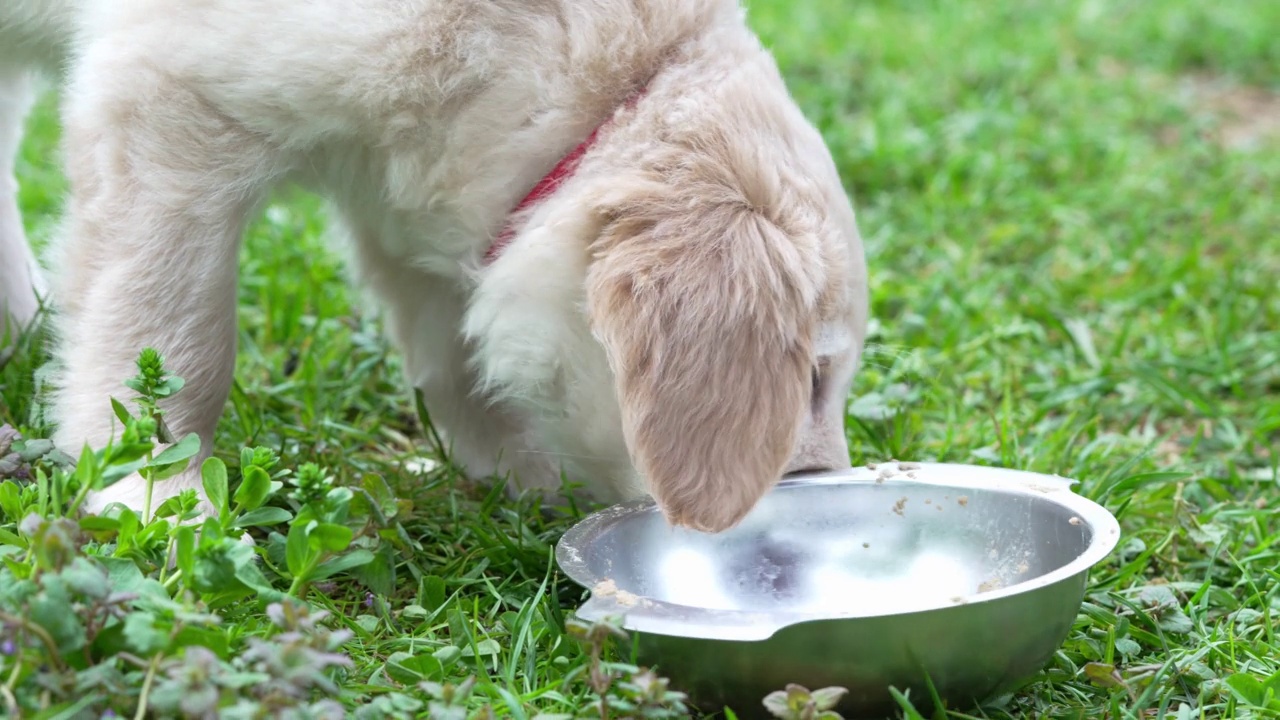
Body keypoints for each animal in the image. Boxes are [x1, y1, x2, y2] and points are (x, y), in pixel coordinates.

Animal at [0, 1, 870, 532]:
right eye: (813, 376)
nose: (813, 495)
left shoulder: (404, 183)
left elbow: (453, 350)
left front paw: (518, 476)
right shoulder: (167, 101)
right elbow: (171, 332)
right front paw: (153, 486)